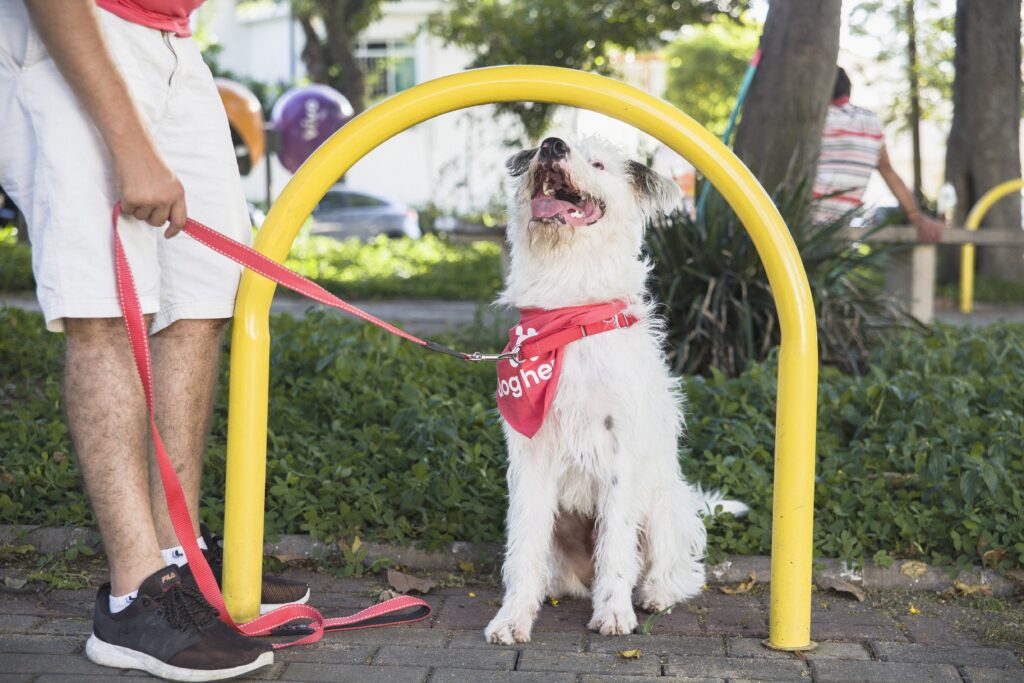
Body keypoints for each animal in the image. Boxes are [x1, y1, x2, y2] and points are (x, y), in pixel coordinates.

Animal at [483, 135, 749, 647]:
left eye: (599, 163)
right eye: (543, 146)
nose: (551, 145)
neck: (569, 309)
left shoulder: (621, 451)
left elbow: (618, 543)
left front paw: (613, 612)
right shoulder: (532, 456)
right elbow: (522, 544)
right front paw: (513, 617)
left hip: (666, 503)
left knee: (680, 570)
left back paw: (654, 593)